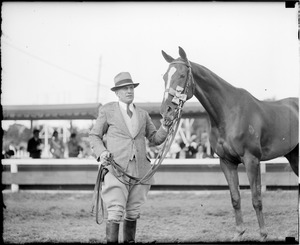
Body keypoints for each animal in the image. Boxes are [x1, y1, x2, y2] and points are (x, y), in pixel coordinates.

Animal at [159, 46, 298, 241]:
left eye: (181, 75)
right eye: (165, 76)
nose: (166, 111)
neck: (228, 112)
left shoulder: (251, 160)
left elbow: (256, 198)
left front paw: (263, 234)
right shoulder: (226, 162)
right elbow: (235, 198)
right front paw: (239, 232)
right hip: (293, 156)